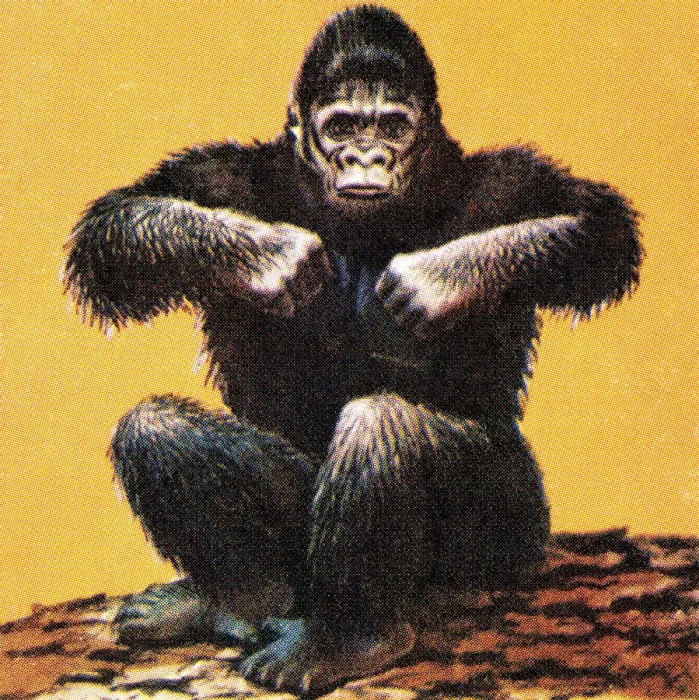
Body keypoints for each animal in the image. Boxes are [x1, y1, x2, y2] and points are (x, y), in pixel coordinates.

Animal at [62, 5, 642, 693]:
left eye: (391, 125)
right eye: (341, 125)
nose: (366, 155)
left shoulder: (506, 181)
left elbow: (596, 226)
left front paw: (439, 276)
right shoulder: (225, 175)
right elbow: (117, 224)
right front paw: (272, 256)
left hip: (511, 539)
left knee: (382, 426)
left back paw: (350, 639)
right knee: (156, 428)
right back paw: (231, 602)